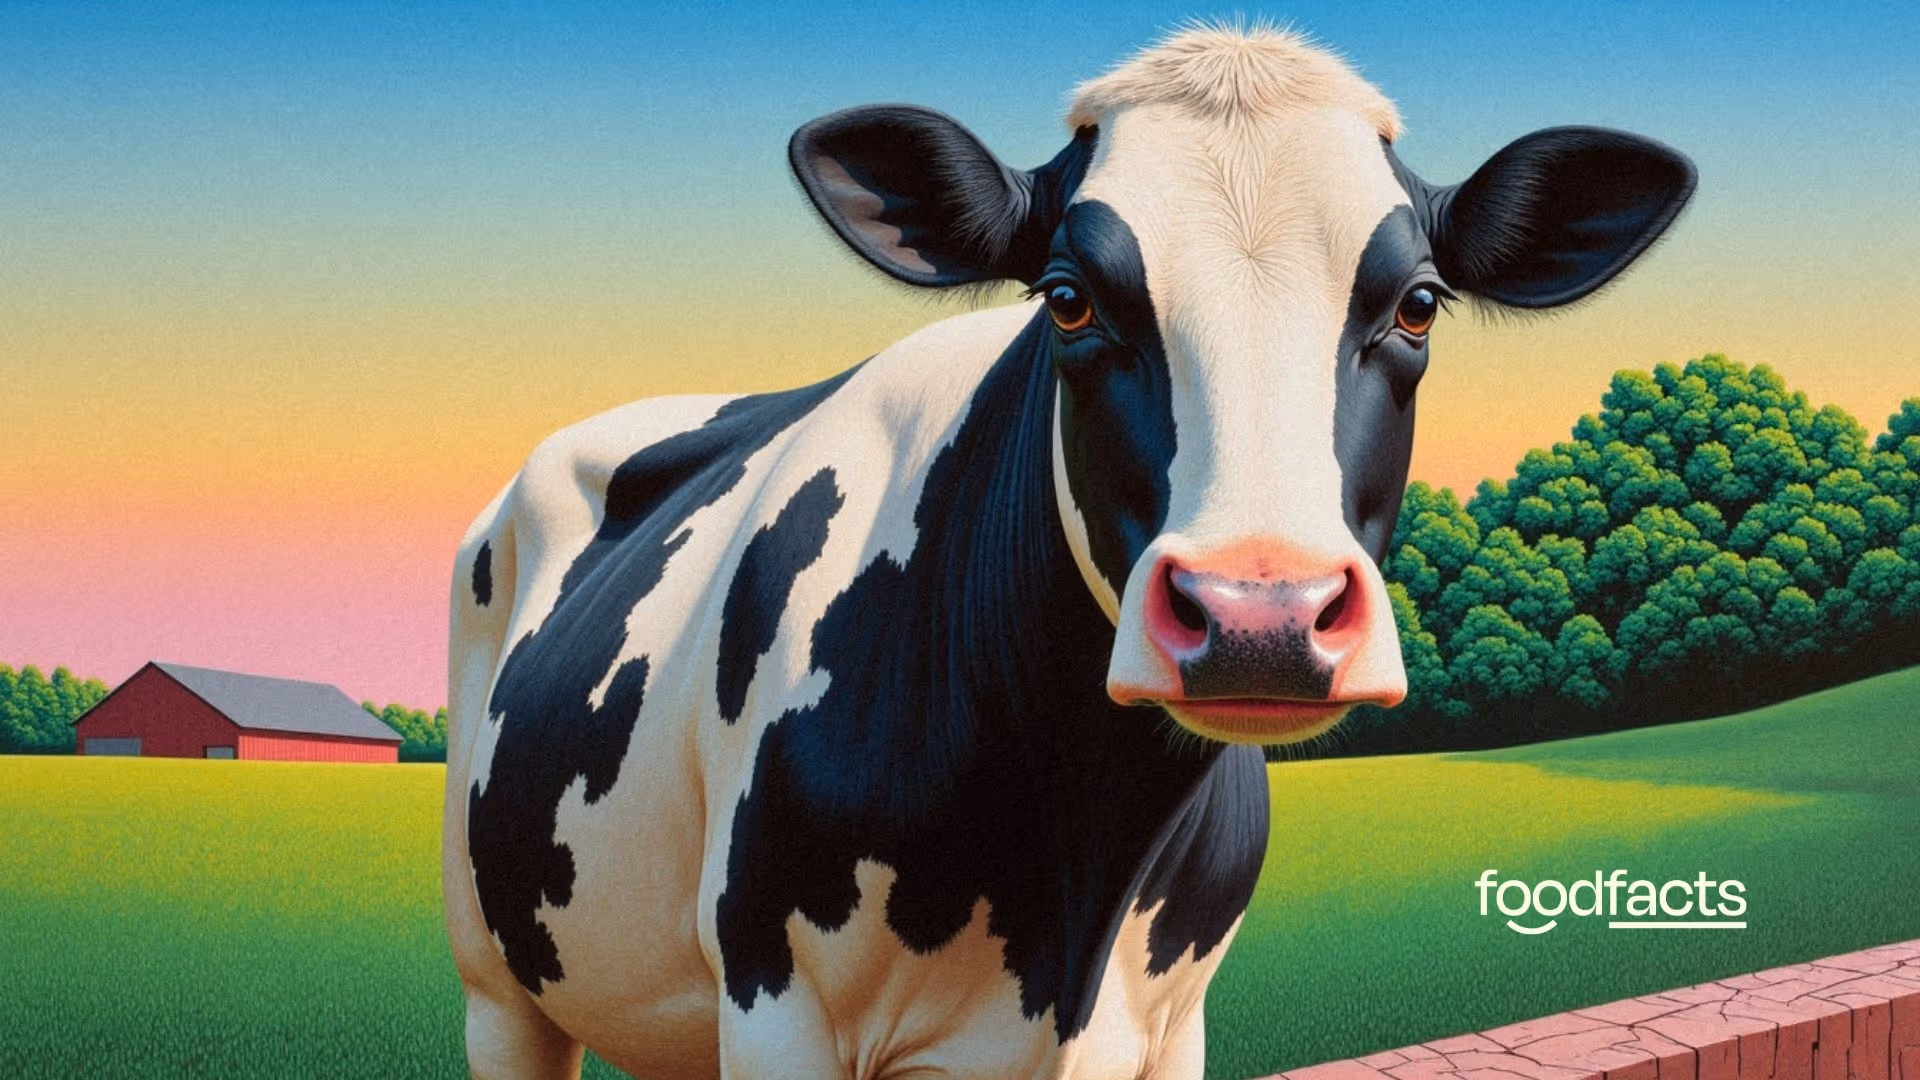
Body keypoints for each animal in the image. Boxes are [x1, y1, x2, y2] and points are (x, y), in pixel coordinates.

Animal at [443, 24, 1694, 1080]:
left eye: (1421, 303)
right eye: (1067, 297)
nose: (1260, 618)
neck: (1069, 892)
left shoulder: (1170, 1026)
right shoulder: (775, 1002)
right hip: (498, 986)